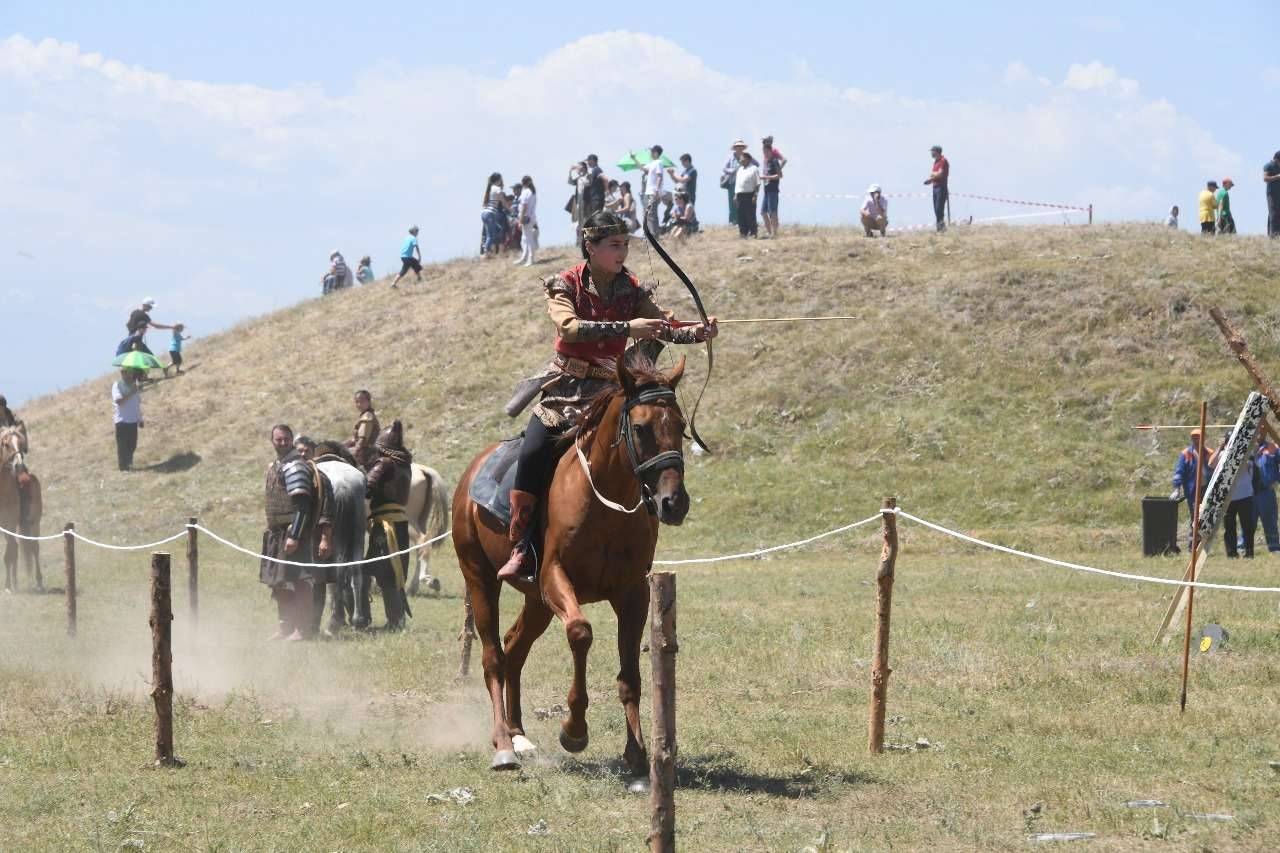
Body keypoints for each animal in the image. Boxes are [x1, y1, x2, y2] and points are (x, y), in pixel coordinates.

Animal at [0, 425, 43, 591]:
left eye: (21, 443)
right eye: (5, 444)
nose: (19, 466)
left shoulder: (10, 523)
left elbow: (8, 554)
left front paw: (7, 586)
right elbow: (11, 553)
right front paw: (9, 585)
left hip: (34, 522)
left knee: (34, 547)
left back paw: (38, 582)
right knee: (16, 548)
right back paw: (15, 582)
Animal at [450, 350, 691, 768]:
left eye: (680, 425)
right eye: (641, 428)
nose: (673, 503)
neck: (605, 503)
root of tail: (469, 476)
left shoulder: (633, 593)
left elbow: (630, 675)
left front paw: (637, 752)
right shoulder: (555, 578)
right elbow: (580, 633)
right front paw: (574, 730)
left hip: (537, 602)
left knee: (514, 647)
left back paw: (518, 734)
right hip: (479, 577)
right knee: (493, 656)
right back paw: (503, 745)